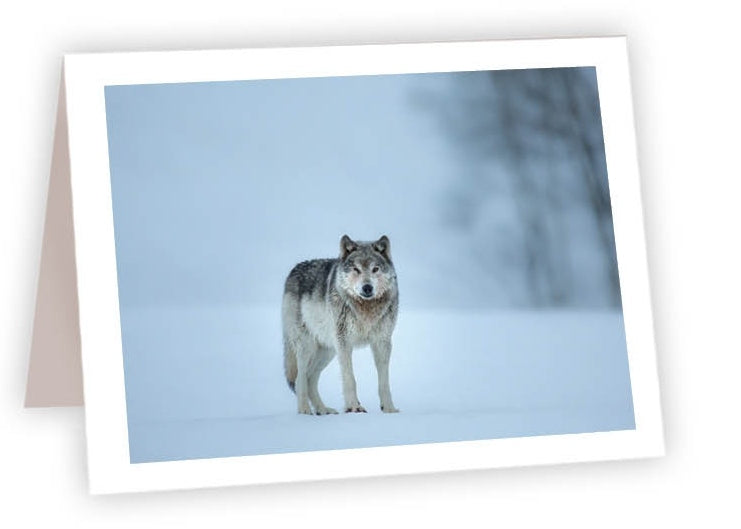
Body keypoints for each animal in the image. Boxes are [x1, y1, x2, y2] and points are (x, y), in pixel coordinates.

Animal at [282, 235, 399, 415]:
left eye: (375, 269)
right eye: (356, 269)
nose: (367, 287)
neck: (365, 309)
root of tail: (293, 270)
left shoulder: (382, 342)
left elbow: (384, 382)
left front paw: (389, 409)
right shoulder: (344, 343)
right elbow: (350, 378)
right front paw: (354, 407)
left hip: (327, 351)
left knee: (310, 378)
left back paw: (323, 410)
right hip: (307, 347)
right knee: (299, 379)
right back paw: (304, 411)